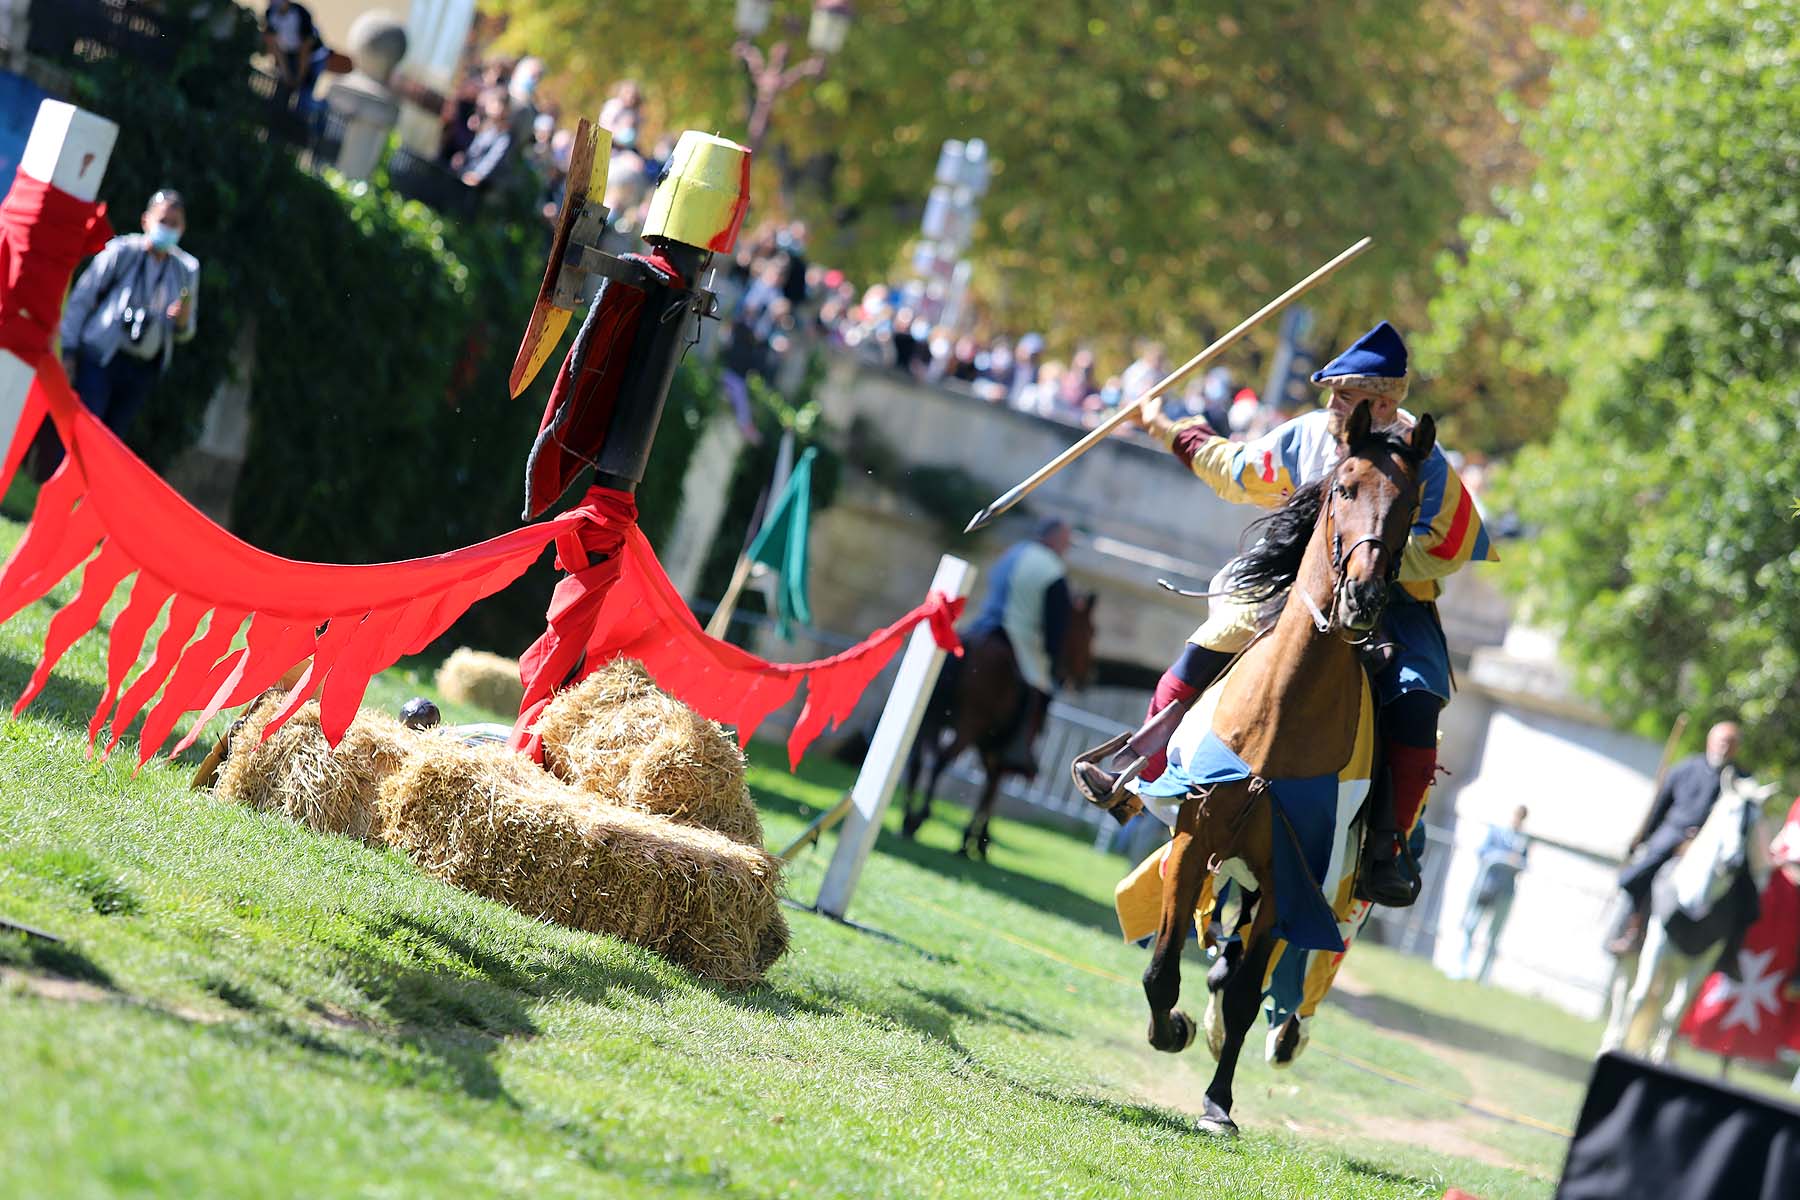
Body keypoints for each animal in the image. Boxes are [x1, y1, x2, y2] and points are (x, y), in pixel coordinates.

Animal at [900, 590, 1094, 852]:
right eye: (1091, 631)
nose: (1086, 678)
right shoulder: (1000, 750)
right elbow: (993, 787)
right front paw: (976, 839)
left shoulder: (987, 748)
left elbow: (989, 785)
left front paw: (974, 838)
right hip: (968, 726)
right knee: (941, 760)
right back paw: (922, 816)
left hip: (929, 720)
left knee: (917, 760)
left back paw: (908, 819)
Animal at [1137, 401, 1432, 1137]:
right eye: (1344, 488)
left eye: (1414, 503)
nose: (1364, 597)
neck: (1279, 714)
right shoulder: (1194, 846)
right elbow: (1162, 970)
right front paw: (1171, 1028)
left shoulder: (1293, 875)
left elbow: (1246, 992)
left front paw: (1218, 1101)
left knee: (1259, 970)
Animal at [1598, 770, 1778, 1057]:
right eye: (1730, 811)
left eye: (1753, 823)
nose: (1732, 863)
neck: (1696, 898)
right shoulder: (1656, 944)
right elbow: (1638, 996)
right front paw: (1619, 1046)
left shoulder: (1704, 959)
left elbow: (1676, 1010)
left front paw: (1660, 1055)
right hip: (1631, 955)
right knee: (1623, 990)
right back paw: (1612, 1039)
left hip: (1676, 965)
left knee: (1662, 1001)